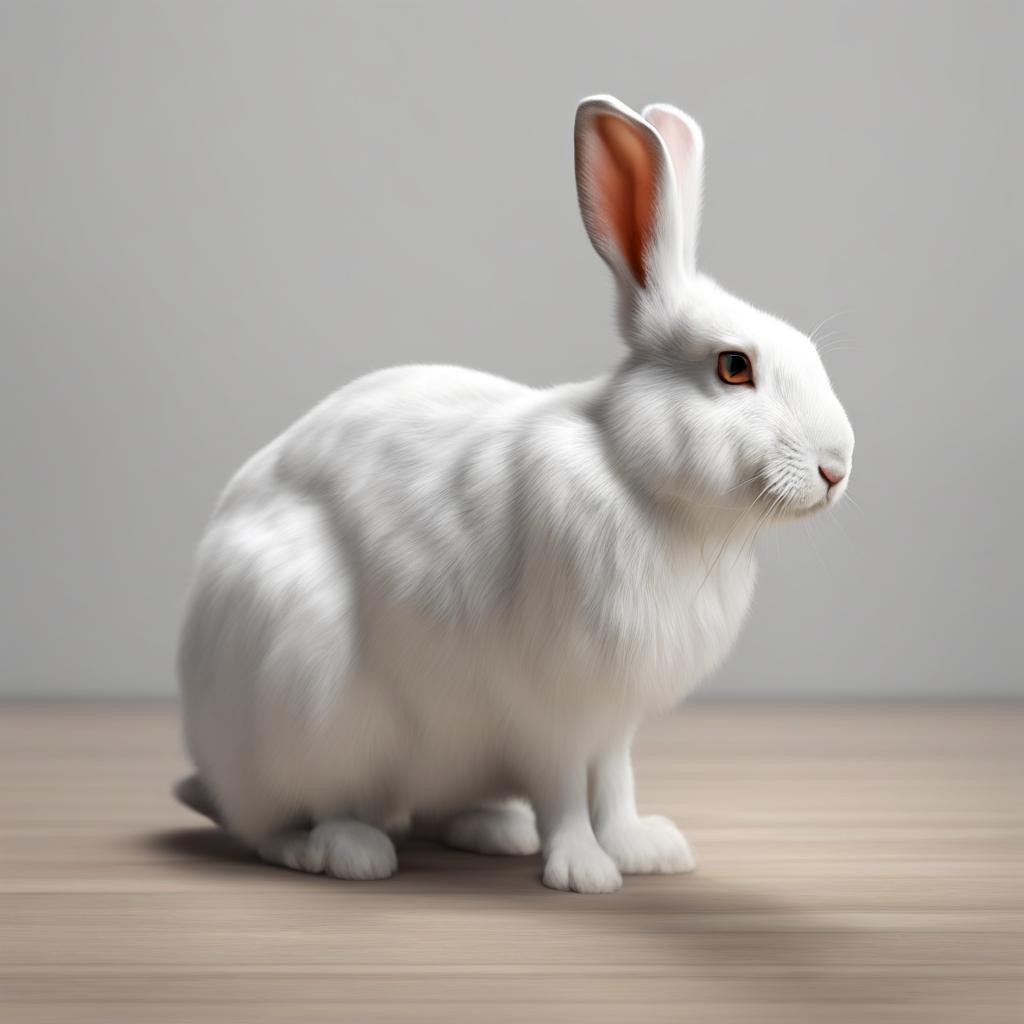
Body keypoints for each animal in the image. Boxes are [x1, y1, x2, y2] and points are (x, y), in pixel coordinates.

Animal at [176, 94, 854, 893]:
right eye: (733, 366)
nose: (838, 466)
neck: (643, 486)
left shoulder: (613, 719)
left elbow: (615, 780)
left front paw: (643, 847)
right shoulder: (548, 706)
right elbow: (564, 788)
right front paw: (585, 869)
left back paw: (495, 830)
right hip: (306, 708)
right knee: (280, 825)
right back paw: (348, 850)